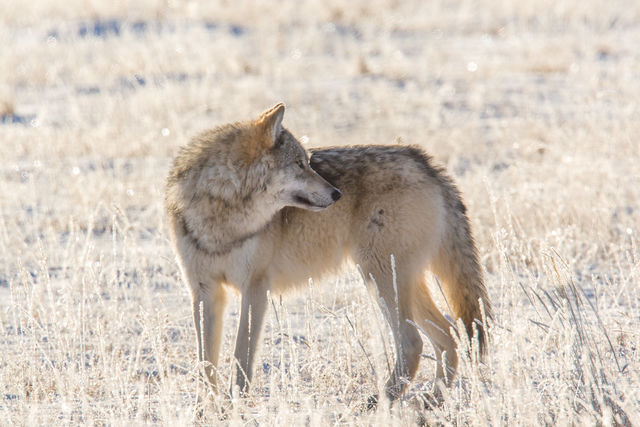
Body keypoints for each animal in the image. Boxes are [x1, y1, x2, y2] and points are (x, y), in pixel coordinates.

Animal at [165, 103, 490, 404]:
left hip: (379, 279)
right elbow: (206, 362)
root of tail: (422, 158)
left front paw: (237, 407)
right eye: (300, 164)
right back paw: (432, 402)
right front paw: (207, 410)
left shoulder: (256, 288)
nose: (337, 194)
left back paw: (382, 402)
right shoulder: (205, 291)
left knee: (415, 343)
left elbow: (241, 358)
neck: (222, 216)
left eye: (308, 162)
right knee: (449, 336)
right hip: (398, 281)